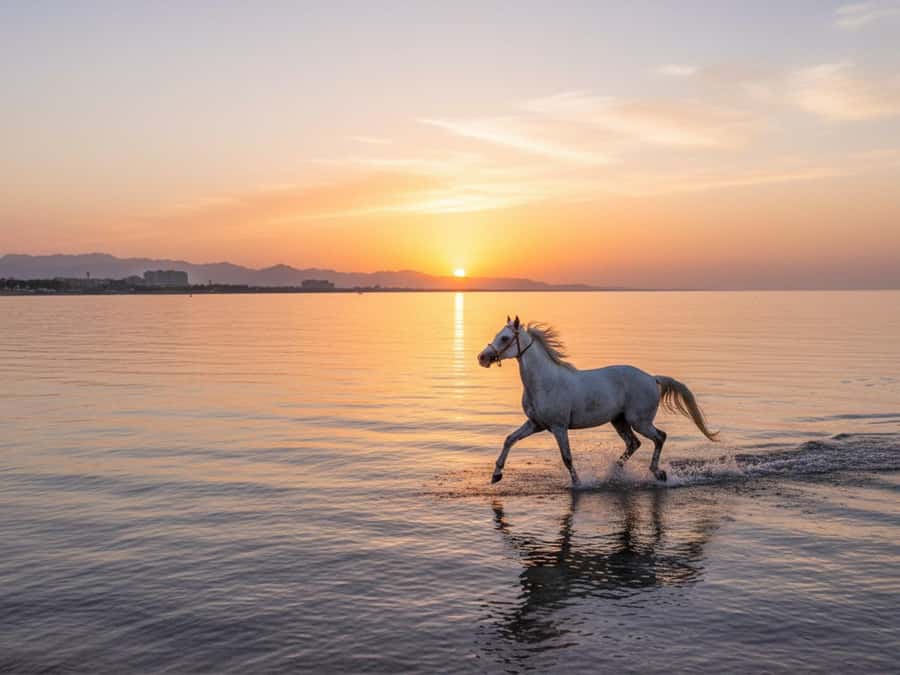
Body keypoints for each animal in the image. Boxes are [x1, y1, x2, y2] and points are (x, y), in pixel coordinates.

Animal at [477, 316, 718, 485]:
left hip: (639, 421)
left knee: (660, 437)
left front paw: (578, 484)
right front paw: (496, 475)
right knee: (634, 443)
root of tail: (653, 378)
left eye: (505, 338)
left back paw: (658, 473)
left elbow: (567, 458)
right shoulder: (536, 424)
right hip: (619, 421)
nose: (482, 358)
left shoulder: (558, 427)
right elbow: (509, 439)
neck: (543, 382)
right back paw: (614, 472)